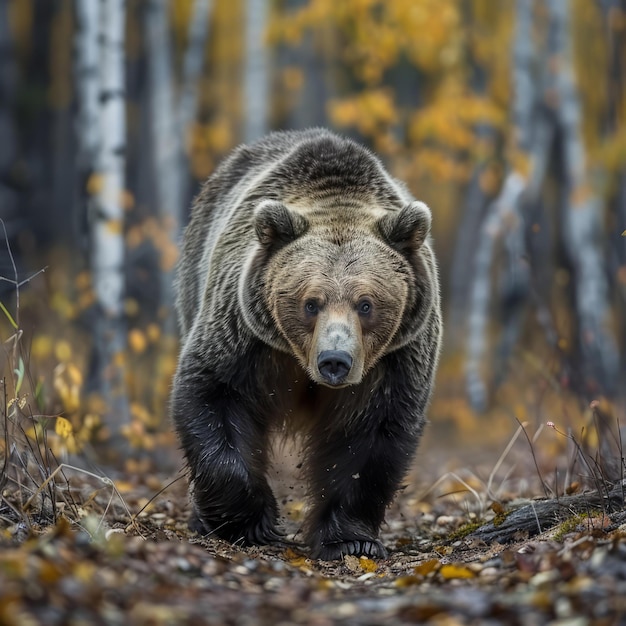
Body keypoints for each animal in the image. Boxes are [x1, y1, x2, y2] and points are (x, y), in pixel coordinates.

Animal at [172, 129, 438, 560]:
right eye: (311, 302)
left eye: (366, 304)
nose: (335, 360)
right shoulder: (245, 335)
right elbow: (214, 393)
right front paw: (250, 522)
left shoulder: (395, 357)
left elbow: (371, 435)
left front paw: (352, 540)